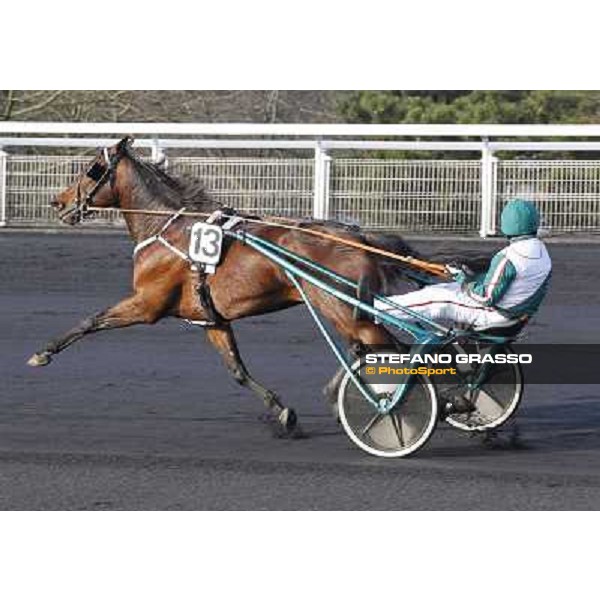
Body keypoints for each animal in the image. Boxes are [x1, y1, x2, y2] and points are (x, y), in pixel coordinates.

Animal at [28, 136, 420, 436]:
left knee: (386, 348)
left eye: (92, 168)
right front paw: (283, 413)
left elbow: (90, 320)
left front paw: (43, 352)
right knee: (369, 348)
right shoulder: (211, 319)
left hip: (340, 308)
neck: (166, 229)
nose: (58, 203)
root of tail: (359, 237)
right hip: (349, 310)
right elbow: (237, 371)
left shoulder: (146, 304)